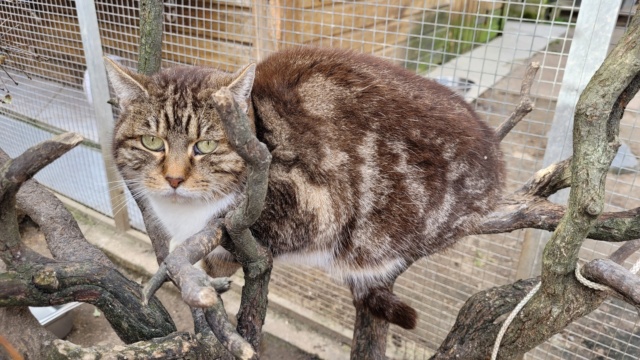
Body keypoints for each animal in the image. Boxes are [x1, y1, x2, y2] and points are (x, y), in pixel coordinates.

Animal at [105, 47, 504, 330]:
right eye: (151, 142)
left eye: (205, 146)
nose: (174, 179)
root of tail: (498, 166)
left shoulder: (316, 205)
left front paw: (215, 259)